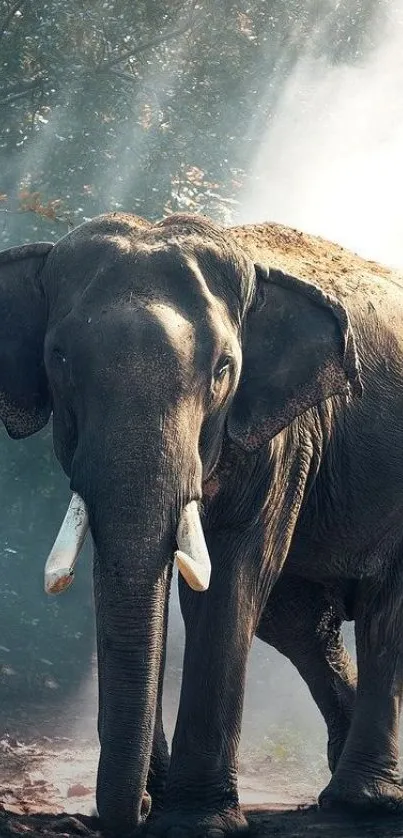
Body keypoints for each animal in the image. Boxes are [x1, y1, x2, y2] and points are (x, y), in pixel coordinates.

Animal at [0, 212, 403, 838]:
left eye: (223, 370)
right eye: (59, 358)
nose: (138, 808)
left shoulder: (282, 438)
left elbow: (229, 583)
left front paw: (196, 823)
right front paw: (161, 801)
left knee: (381, 614)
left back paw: (364, 801)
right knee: (298, 623)